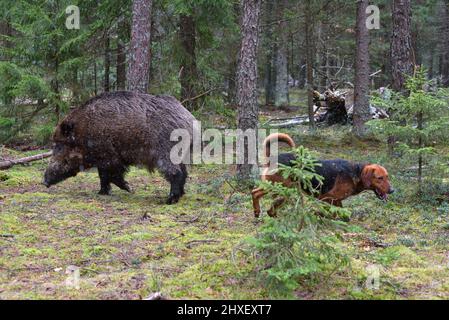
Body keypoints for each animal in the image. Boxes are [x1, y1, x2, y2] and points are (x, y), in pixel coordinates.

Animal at [250, 132, 394, 218]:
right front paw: (320, 214)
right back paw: (259, 212)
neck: (356, 172)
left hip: (283, 188)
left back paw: (268, 213)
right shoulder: (326, 198)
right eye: (380, 178)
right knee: (255, 193)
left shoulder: (336, 200)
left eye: (387, 177)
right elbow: (330, 213)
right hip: (279, 187)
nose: (392, 190)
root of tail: (273, 158)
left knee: (259, 195)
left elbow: (341, 215)